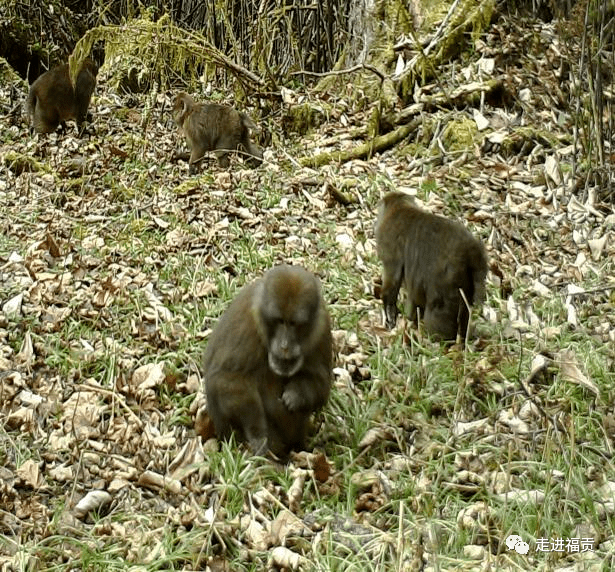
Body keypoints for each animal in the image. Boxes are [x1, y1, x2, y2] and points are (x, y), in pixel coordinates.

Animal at [203, 266, 332, 458]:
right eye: (279, 321)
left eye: (294, 324)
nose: (285, 345)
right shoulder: (248, 323)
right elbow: (226, 378)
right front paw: (258, 434)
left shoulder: (322, 326)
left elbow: (321, 383)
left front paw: (295, 395)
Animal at [372, 192, 488, 342]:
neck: (399, 207)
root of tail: (472, 251)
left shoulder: (388, 242)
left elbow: (392, 282)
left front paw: (389, 312)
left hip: (446, 280)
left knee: (438, 308)